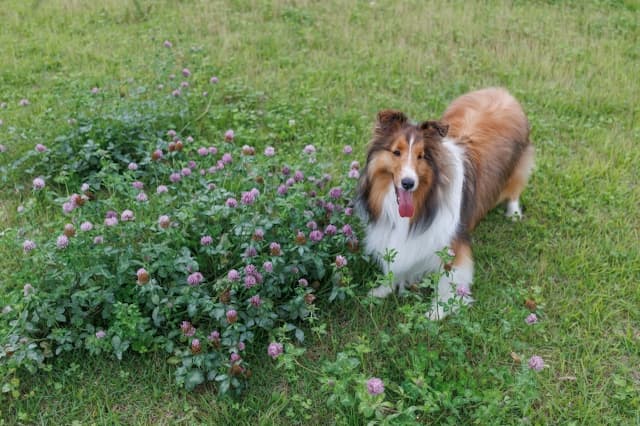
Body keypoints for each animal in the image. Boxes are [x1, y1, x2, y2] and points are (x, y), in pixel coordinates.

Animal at [358, 87, 532, 320]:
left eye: (421, 156)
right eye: (396, 152)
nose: (408, 183)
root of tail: (500, 90)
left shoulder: (452, 245)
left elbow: (448, 282)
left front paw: (438, 312)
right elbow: (393, 265)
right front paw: (381, 291)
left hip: (517, 166)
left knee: (514, 189)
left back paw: (513, 213)